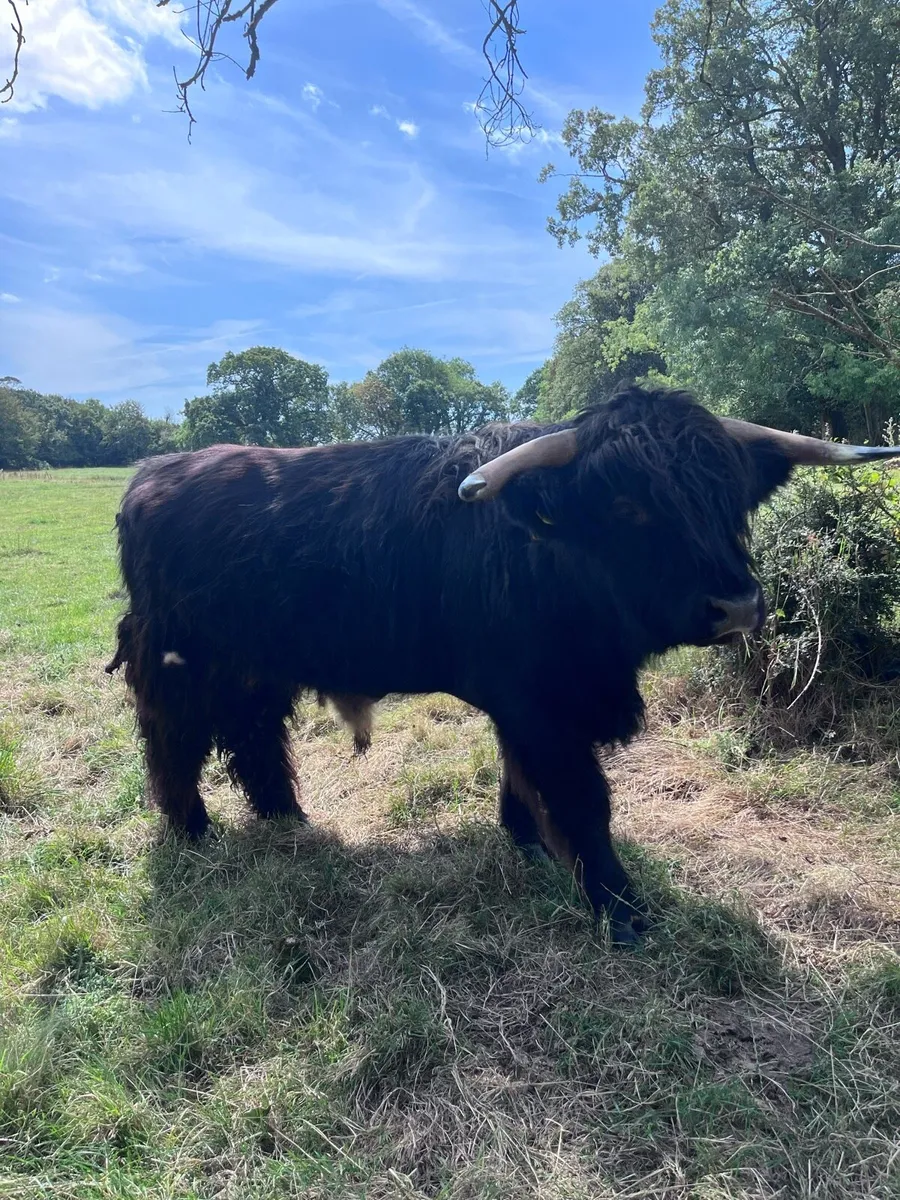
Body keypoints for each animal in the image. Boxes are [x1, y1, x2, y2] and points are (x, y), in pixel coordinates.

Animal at [106, 386, 898, 944]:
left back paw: (288, 821)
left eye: (729, 495)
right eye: (628, 503)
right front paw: (621, 911)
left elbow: (521, 775)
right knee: (175, 742)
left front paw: (529, 847)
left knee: (254, 737)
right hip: (180, 663)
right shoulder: (540, 703)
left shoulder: (533, 700)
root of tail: (152, 476)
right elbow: (582, 798)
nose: (735, 605)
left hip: (255, 666)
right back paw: (193, 834)